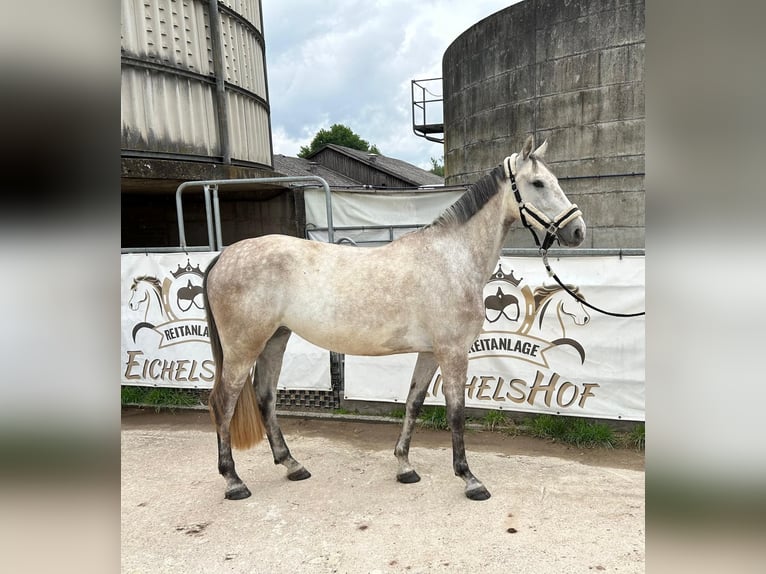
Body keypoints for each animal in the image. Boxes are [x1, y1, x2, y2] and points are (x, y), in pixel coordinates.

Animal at [203, 136, 586, 501]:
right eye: (537, 183)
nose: (578, 231)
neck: (452, 258)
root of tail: (224, 256)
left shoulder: (430, 352)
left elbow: (414, 402)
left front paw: (404, 466)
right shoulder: (453, 352)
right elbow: (456, 412)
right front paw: (469, 479)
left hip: (275, 339)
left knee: (265, 397)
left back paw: (292, 465)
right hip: (243, 348)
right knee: (223, 403)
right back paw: (233, 481)